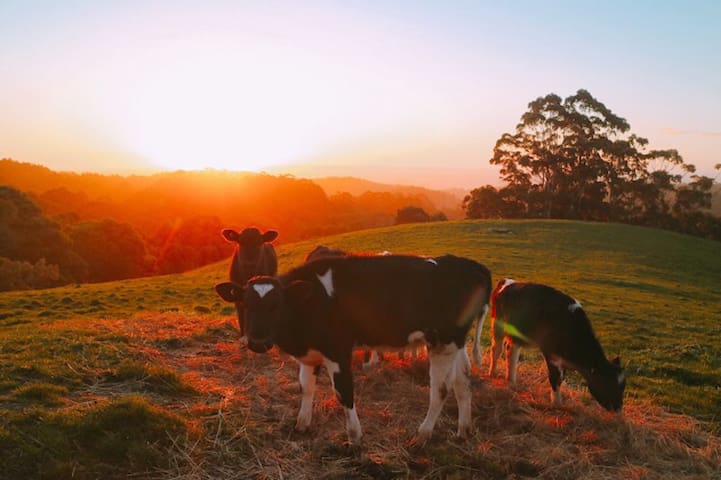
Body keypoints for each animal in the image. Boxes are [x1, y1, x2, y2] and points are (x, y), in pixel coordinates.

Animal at [214, 253, 492, 444]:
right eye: (246, 304)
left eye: (277, 305)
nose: (257, 342)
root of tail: (470, 265)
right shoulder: (310, 354)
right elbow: (306, 388)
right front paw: (302, 425)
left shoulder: (338, 351)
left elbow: (344, 393)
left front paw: (355, 436)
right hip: (454, 342)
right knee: (463, 383)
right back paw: (463, 430)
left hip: (443, 343)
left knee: (441, 390)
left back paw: (423, 434)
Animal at [490, 278, 624, 412]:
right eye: (607, 384)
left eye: (623, 386)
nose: (618, 409)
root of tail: (508, 281)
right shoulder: (551, 354)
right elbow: (555, 378)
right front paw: (556, 404)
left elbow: (561, 378)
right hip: (498, 322)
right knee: (496, 349)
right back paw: (492, 373)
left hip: (517, 334)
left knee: (511, 352)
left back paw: (511, 381)